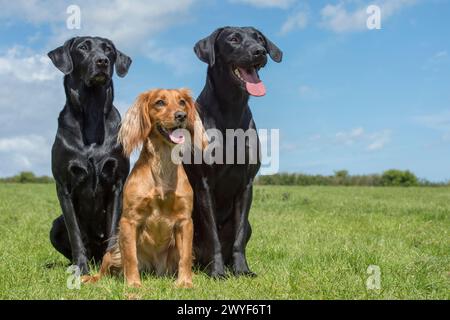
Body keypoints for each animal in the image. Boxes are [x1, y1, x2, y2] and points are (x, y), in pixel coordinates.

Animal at [48, 36, 132, 274]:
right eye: (83, 48)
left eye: (108, 49)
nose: (102, 61)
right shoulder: (64, 187)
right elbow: (76, 233)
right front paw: (80, 268)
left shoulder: (116, 184)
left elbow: (112, 231)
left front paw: (113, 269)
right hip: (54, 226)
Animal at [81, 88, 207, 288]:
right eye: (160, 102)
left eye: (182, 102)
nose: (181, 115)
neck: (162, 166)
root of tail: (155, 270)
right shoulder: (129, 220)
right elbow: (131, 258)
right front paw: (133, 284)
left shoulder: (185, 220)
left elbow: (185, 257)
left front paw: (185, 282)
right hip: (113, 250)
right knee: (104, 270)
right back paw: (91, 278)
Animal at [182, 26, 282, 278]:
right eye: (234, 39)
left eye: (259, 39)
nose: (260, 52)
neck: (231, 109)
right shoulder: (204, 184)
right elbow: (213, 238)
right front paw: (217, 272)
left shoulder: (246, 184)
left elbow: (238, 236)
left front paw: (242, 269)